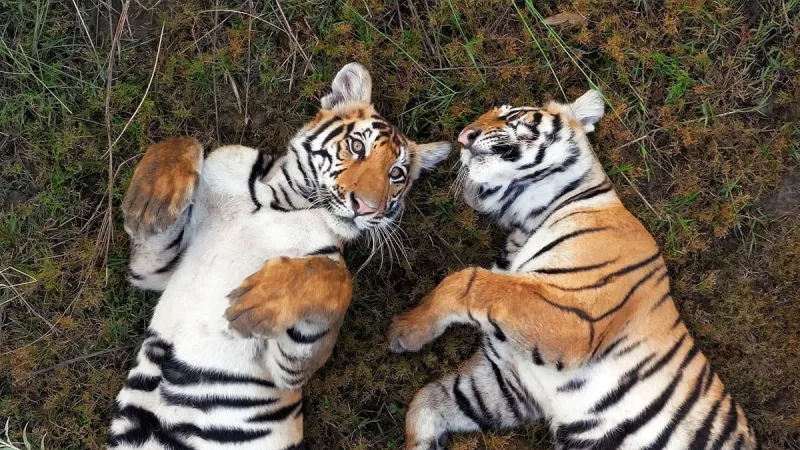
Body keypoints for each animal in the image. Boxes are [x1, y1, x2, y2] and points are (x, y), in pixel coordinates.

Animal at [107, 62, 451, 450]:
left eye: (397, 175)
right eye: (356, 146)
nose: (366, 207)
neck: (282, 204)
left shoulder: (287, 372)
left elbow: (334, 276)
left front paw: (259, 301)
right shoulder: (155, 271)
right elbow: (186, 140)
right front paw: (150, 203)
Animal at [387, 90, 759, 450]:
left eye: (511, 113)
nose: (463, 137)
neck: (525, 219)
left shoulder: (576, 317)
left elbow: (469, 281)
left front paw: (406, 328)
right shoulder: (510, 380)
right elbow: (429, 399)